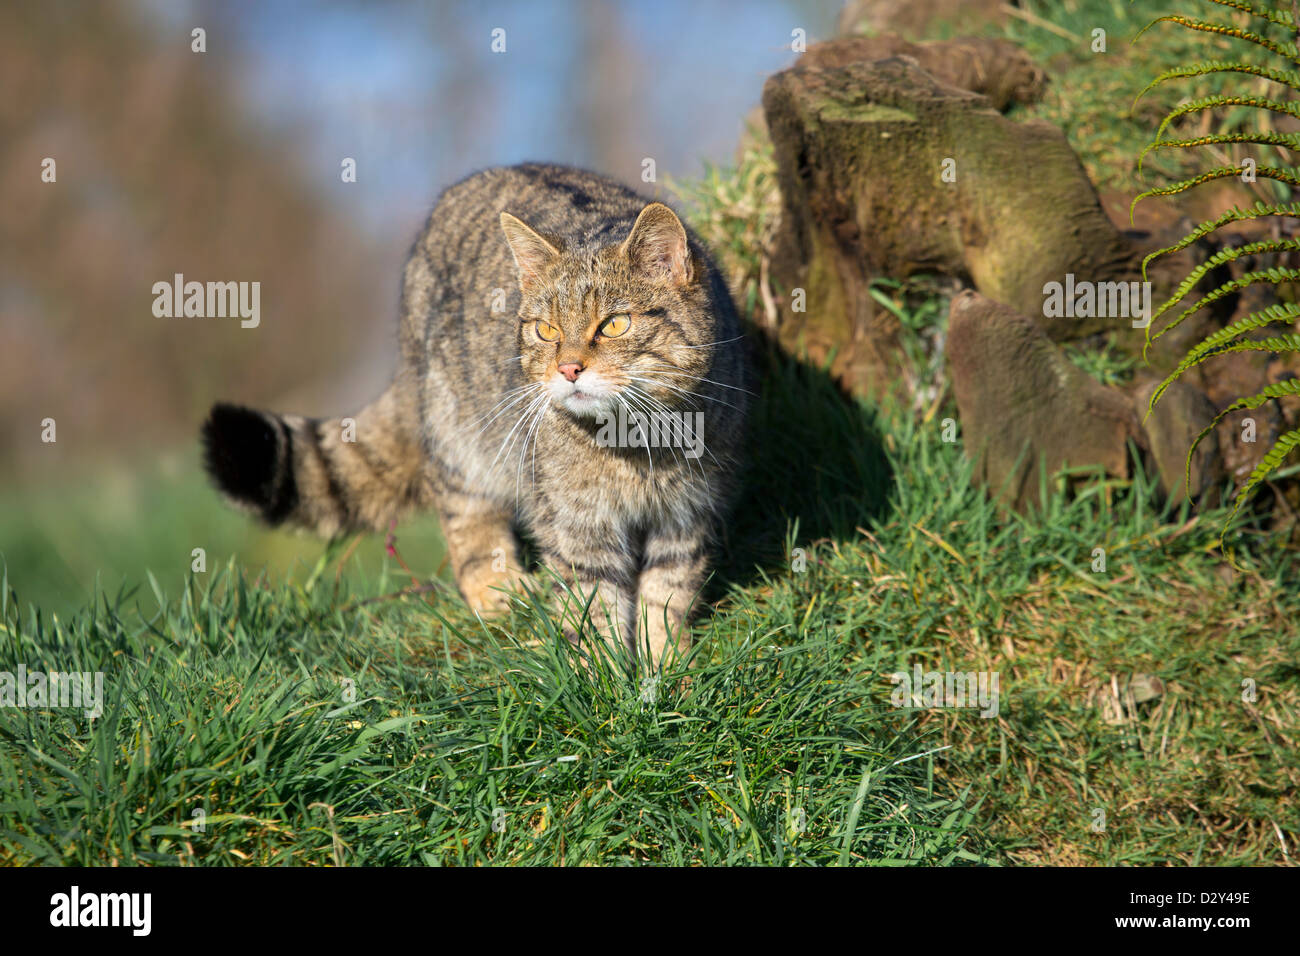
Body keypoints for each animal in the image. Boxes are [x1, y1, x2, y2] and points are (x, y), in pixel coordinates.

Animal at [202, 162, 754, 665]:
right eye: (546, 330)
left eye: (614, 324)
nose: (568, 368)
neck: (637, 448)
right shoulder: (575, 524)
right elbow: (594, 603)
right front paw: (606, 679)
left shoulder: (688, 516)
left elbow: (666, 596)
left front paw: (666, 667)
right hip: (458, 439)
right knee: (465, 520)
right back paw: (500, 593)